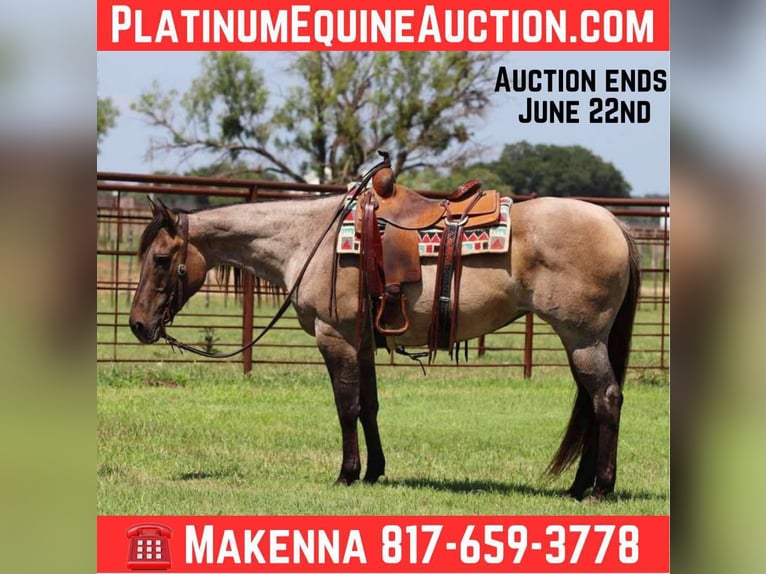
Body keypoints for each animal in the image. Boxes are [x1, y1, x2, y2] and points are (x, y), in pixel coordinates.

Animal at [128, 187, 640, 501]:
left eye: (160, 258)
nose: (136, 325)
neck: (309, 240)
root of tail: (613, 223)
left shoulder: (334, 338)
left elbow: (347, 407)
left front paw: (347, 473)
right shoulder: (361, 343)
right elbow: (370, 406)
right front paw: (375, 470)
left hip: (582, 337)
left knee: (606, 399)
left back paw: (600, 487)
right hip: (582, 340)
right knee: (592, 403)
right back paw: (578, 485)